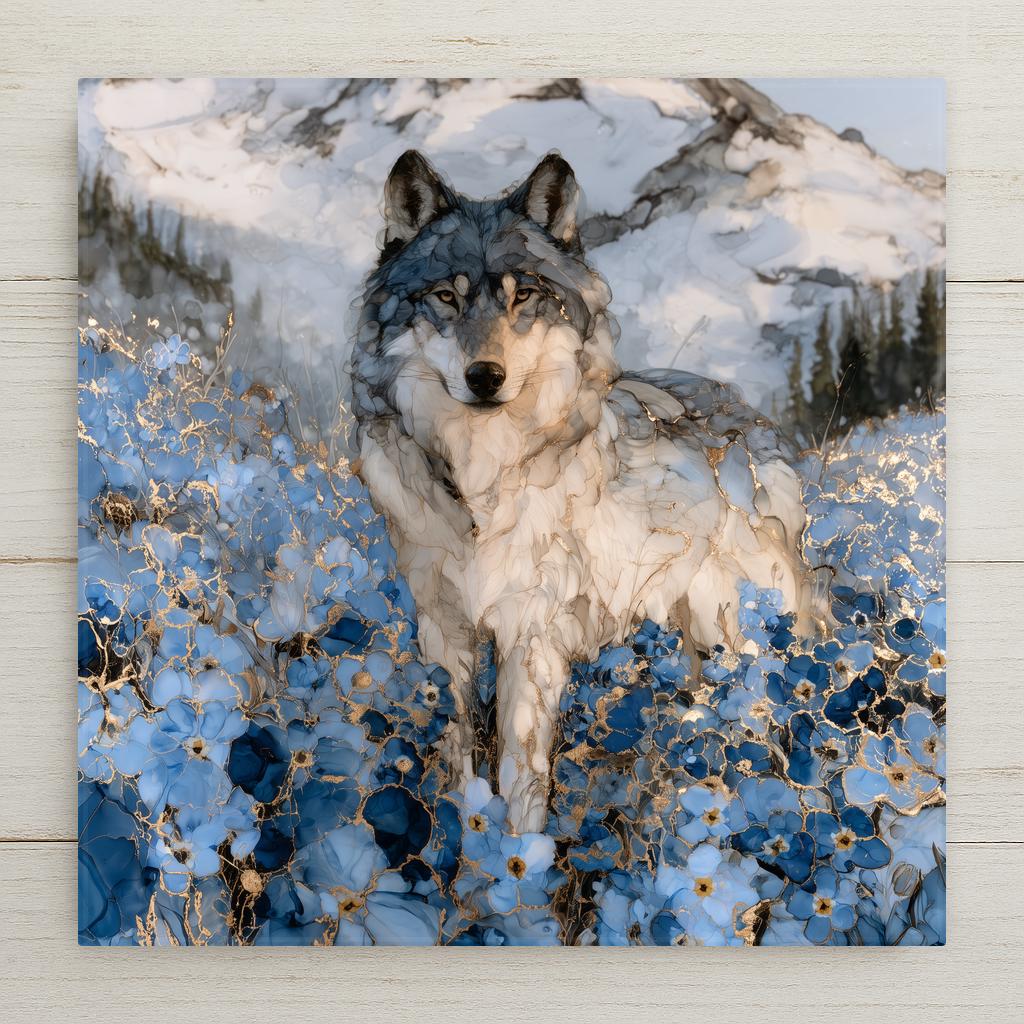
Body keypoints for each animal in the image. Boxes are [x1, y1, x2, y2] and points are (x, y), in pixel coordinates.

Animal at [351, 150, 821, 833]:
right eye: (445, 297)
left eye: (524, 297)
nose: (485, 376)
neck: (480, 487)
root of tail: (750, 413)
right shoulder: (445, 632)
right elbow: (459, 762)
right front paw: (466, 844)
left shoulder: (531, 638)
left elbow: (521, 779)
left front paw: (518, 855)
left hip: (736, 640)